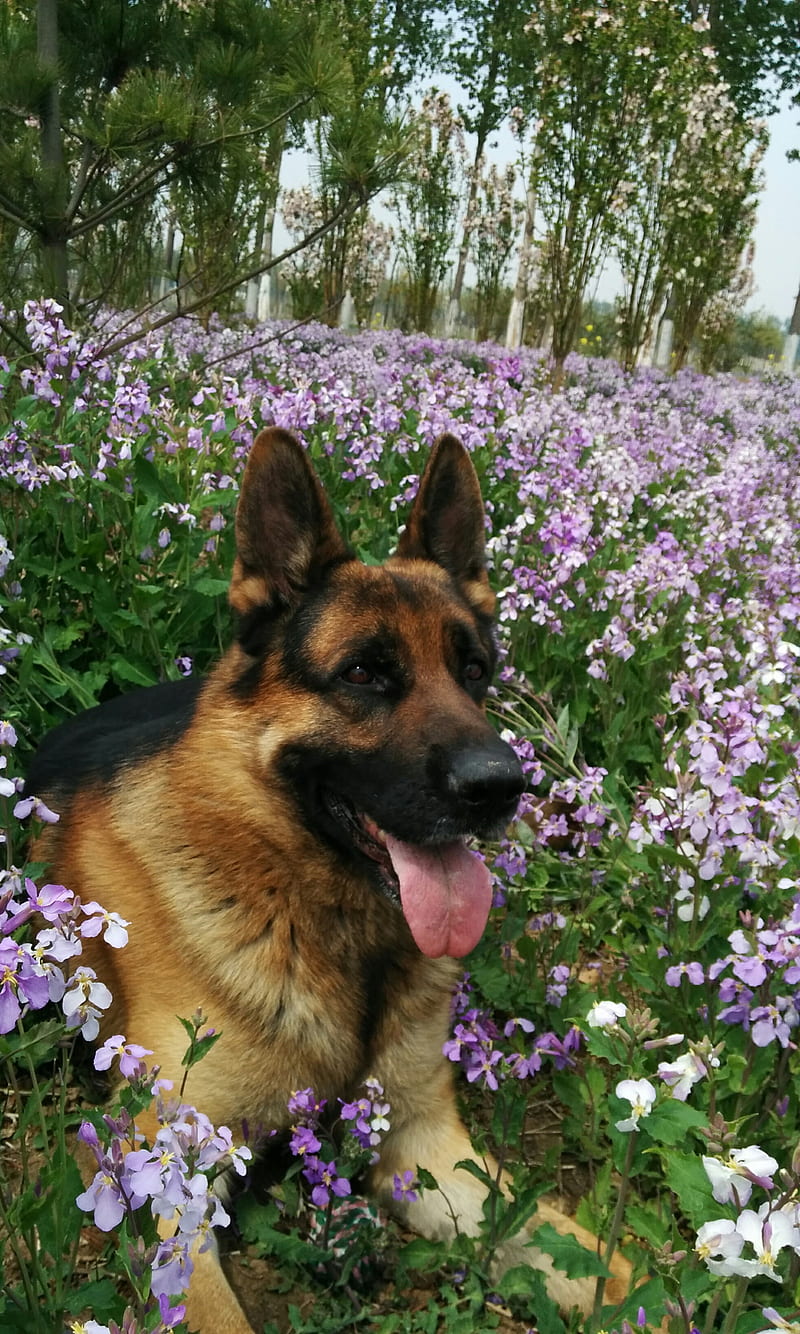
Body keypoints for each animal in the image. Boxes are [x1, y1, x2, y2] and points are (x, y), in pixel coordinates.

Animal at [26, 432, 632, 1328]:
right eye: (363, 675)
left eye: (476, 671)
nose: (501, 787)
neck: (318, 914)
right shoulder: (165, 1177)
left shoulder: (424, 1144)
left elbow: (612, 1273)